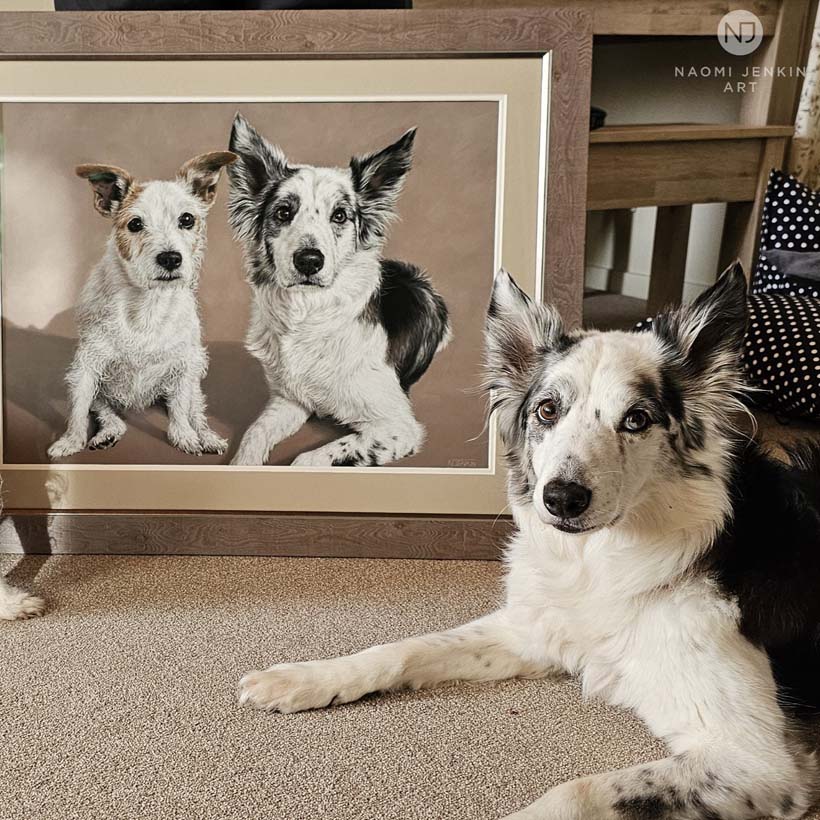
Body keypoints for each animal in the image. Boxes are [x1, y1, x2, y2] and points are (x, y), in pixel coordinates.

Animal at [48, 152, 235, 462]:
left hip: (194, 376)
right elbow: (78, 410)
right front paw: (70, 442)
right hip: (101, 389)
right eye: (135, 224)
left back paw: (207, 437)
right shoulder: (87, 366)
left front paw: (184, 438)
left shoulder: (183, 365)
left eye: (187, 219)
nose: (170, 258)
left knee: (194, 409)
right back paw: (108, 432)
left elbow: (180, 410)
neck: (148, 304)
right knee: (106, 411)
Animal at [237, 266, 820, 816]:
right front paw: (302, 678)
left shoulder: (752, 761)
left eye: (637, 419)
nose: (561, 498)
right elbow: (401, 648)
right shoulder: (532, 628)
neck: (601, 561)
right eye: (547, 410)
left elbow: (576, 792)